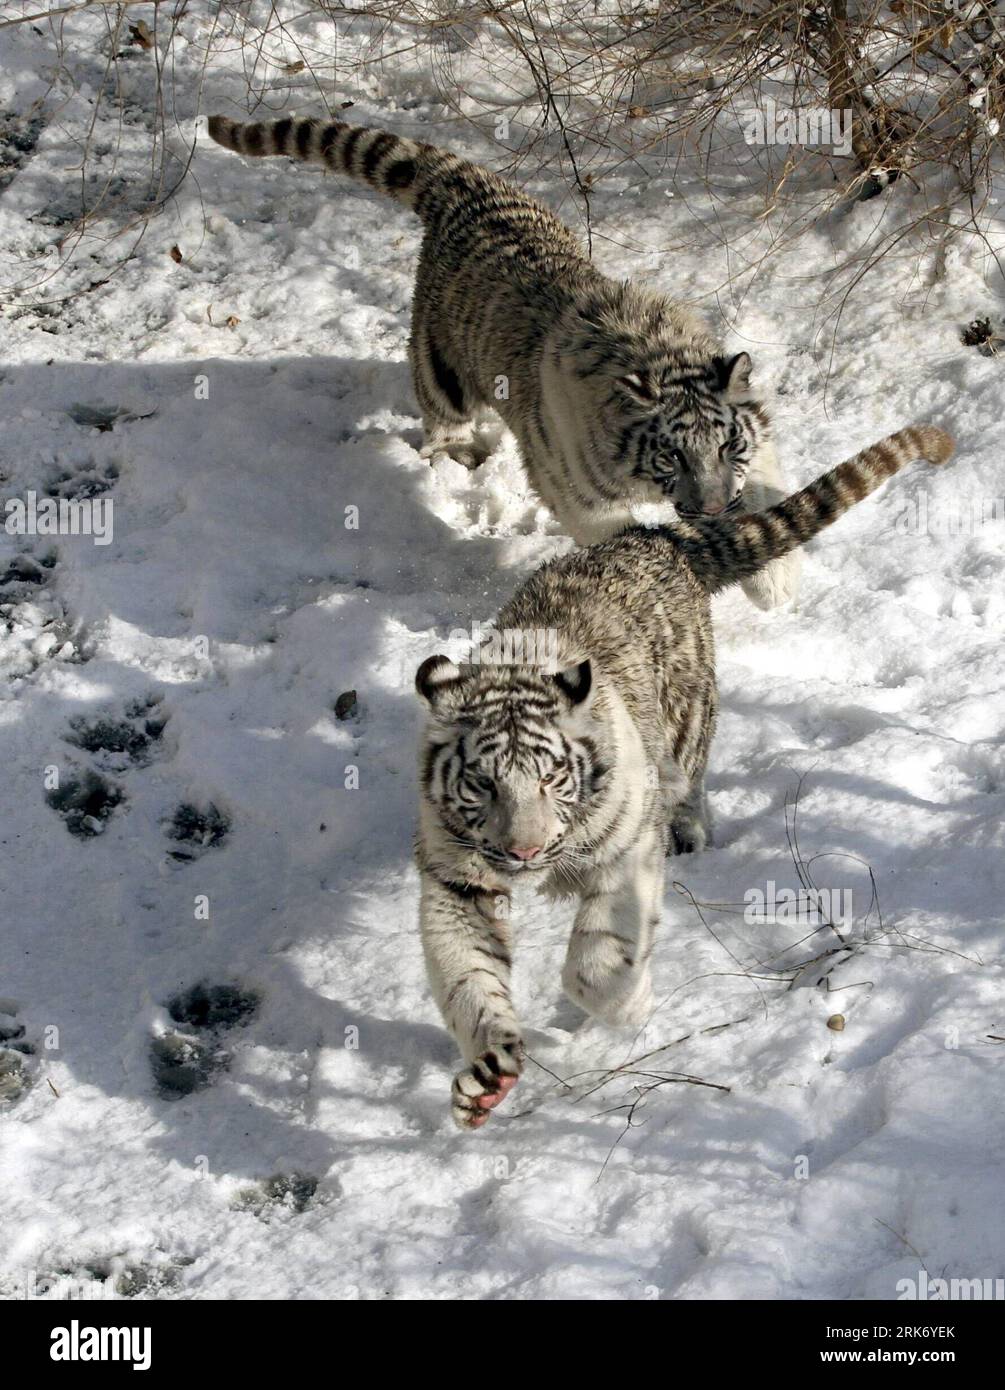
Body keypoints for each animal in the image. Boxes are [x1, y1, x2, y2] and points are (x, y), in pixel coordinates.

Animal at [209, 116, 800, 617]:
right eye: (672, 455)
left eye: (727, 445)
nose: (714, 508)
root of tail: (467, 184)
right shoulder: (578, 495)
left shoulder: (757, 441)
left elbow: (765, 483)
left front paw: (774, 584)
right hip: (441, 363)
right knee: (441, 413)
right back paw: (459, 453)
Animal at [411, 422, 956, 1128]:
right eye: (482, 783)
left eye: (552, 777)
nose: (523, 851)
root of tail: (654, 535)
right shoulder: (455, 879)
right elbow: (467, 978)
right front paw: (487, 1078)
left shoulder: (626, 851)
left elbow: (597, 959)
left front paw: (628, 1009)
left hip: (689, 721)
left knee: (692, 782)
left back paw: (691, 833)